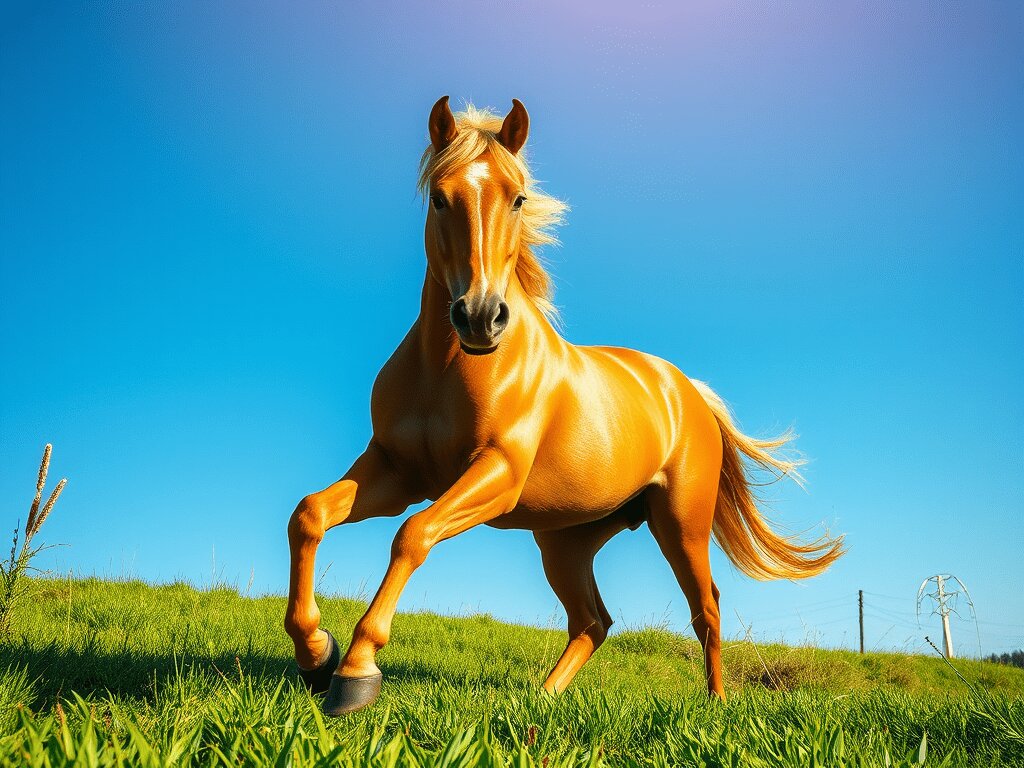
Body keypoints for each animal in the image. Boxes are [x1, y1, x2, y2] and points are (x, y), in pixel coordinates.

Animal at [284, 96, 845, 716]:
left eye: (518, 197)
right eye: (439, 197)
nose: (481, 316)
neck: (446, 369)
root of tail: (687, 390)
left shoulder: (495, 473)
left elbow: (412, 535)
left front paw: (356, 670)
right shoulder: (397, 470)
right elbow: (309, 514)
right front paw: (316, 653)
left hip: (680, 524)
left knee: (707, 609)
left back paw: (715, 706)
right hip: (565, 540)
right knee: (593, 622)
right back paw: (541, 699)